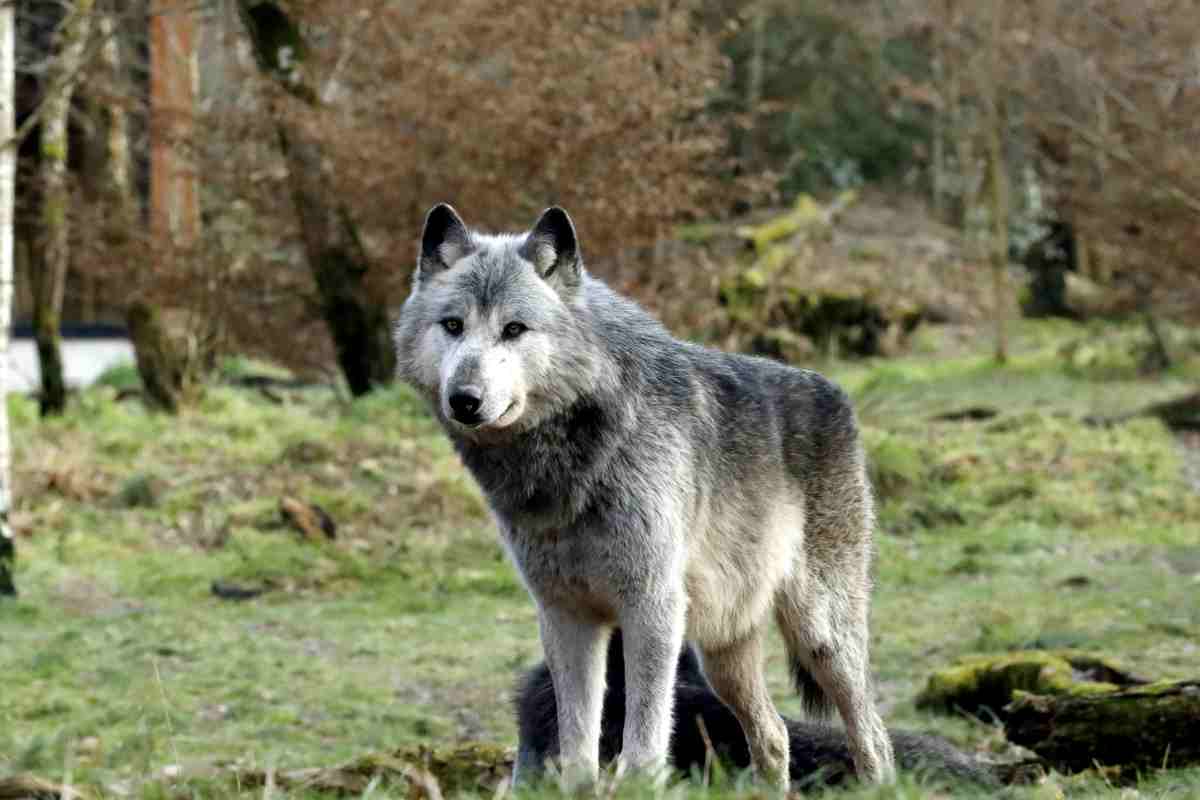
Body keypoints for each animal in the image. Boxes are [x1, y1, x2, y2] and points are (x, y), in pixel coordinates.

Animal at [392, 203, 895, 788]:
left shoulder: (651, 606)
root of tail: (836, 390)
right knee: (774, 736)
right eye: (453, 325)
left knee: (873, 736)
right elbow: (578, 750)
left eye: (514, 329)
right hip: (723, 654)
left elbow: (643, 746)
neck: (576, 458)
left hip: (821, 636)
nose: (464, 399)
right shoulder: (565, 615)